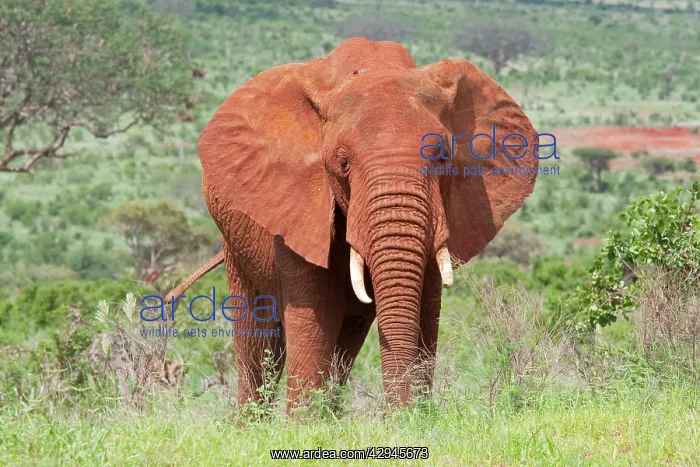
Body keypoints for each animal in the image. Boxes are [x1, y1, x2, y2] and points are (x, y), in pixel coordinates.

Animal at [165, 37, 539, 411]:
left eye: (443, 157)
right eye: (342, 162)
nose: (398, 416)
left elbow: (425, 309)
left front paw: (416, 414)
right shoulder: (298, 208)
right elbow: (314, 315)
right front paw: (305, 423)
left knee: (347, 335)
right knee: (258, 341)